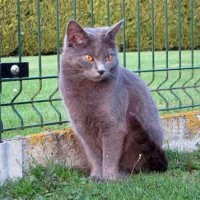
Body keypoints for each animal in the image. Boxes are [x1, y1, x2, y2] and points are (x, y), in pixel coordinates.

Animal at [59, 19, 167, 181]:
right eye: (88, 57)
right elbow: (94, 155)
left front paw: (109, 178)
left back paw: (123, 174)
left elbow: (110, 155)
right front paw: (96, 176)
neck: (89, 94)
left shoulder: (113, 125)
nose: (101, 70)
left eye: (109, 58)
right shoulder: (82, 128)